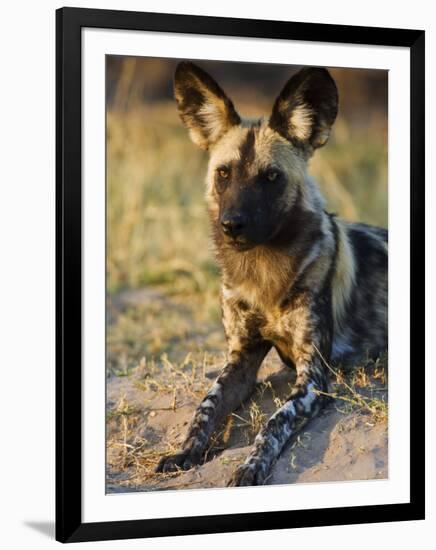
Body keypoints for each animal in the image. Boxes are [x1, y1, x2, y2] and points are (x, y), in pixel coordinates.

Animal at [157, 62, 388, 490]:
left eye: (271, 177)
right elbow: (205, 407)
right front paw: (185, 451)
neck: (263, 272)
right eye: (224, 174)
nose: (233, 225)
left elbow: (274, 421)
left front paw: (252, 465)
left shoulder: (314, 378)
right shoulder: (241, 359)